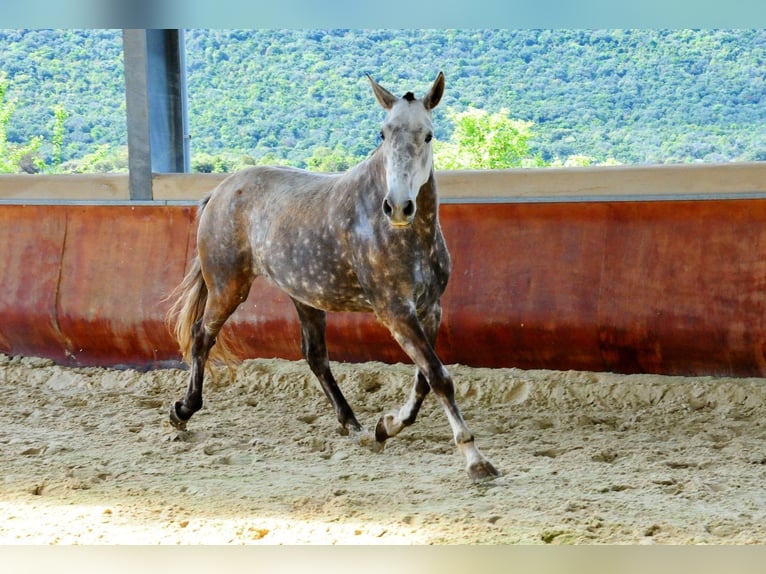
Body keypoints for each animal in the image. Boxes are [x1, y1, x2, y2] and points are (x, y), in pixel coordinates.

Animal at [167, 72, 498, 482]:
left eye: (428, 135)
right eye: (383, 133)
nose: (399, 206)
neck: (404, 236)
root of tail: (219, 192)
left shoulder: (430, 310)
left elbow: (424, 379)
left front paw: (385, 427)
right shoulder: (396, 312)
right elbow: (438, 377)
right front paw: (475, 459)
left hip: (304, 297)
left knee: (315, 356)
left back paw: (351, 422)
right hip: (229, 287)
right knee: (202, 335)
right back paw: (182, 411)